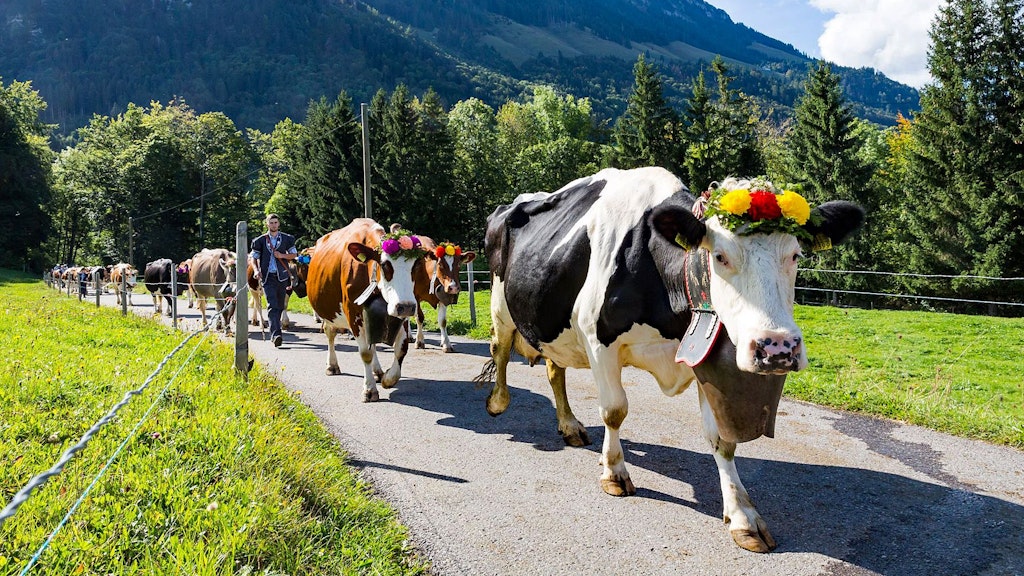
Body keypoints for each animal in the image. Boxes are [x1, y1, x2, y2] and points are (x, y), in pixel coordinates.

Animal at [306, 219, 431, 402]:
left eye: (417, 265)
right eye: (385, 265)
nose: (407, 306)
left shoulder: (398, 313)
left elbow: (401, 349)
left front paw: (388, 378)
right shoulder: (353, 314)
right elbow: (365, 353)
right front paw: (370, 389)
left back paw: (377, 371)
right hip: (328, 312)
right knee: (330, 333)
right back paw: (332, 365)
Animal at [480, 167, 864, 552]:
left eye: (796, 255)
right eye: (720, 256)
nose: (777, 348)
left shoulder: (703, 353)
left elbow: (721, 438)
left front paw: (742, 515)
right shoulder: (597, 339)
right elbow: (614, 410)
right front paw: (614, 473)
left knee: (553, 368)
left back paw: (570, 425)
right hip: (501, 302)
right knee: (500, 349)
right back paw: (498, 402)